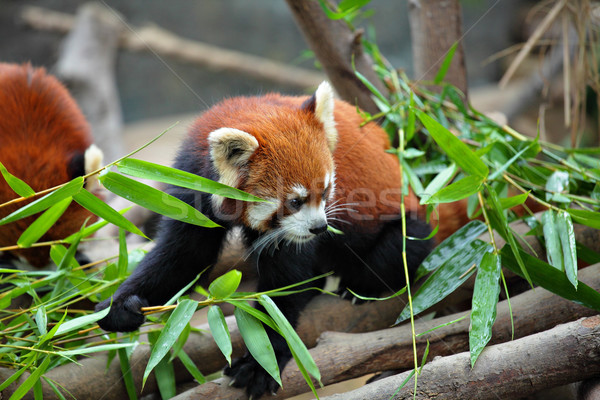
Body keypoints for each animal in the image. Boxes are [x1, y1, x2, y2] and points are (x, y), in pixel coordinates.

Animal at [97, 81, 436, 396]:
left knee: (403, 245)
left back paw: (360, 287)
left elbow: (283, 284)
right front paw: (121, 306)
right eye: (295, 201)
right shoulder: (192, 183)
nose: (320, 227)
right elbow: (184, 254)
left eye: (326, 191)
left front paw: (261, 361)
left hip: (407, 219)